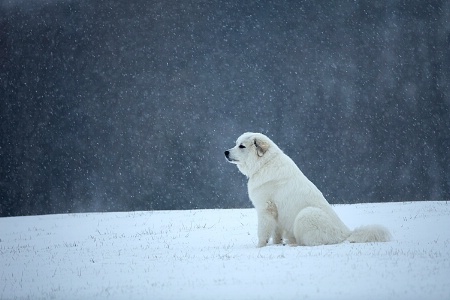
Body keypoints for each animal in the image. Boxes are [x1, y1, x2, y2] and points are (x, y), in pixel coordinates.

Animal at [225, 132, 390, 247]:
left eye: (242, 146)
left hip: (306, 214)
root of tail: (346, 235)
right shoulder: (276, 213)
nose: (226, 152)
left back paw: (293, 244)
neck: (264, 164)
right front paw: (276, 244)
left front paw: (260, 247)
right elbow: (276, 233)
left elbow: (263, 231)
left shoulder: (265, 209)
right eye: (236, 143)